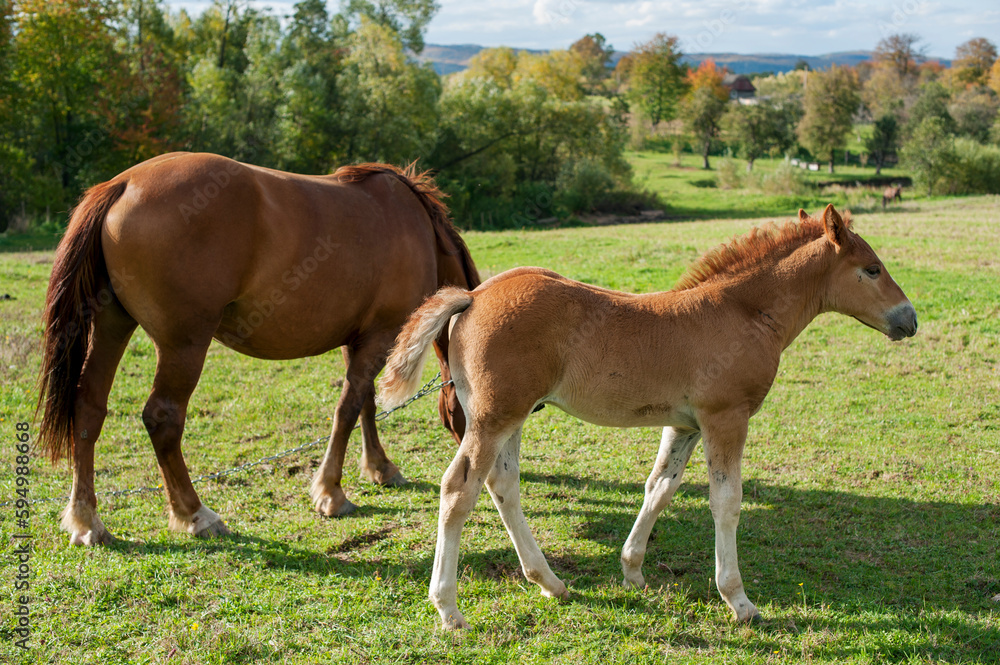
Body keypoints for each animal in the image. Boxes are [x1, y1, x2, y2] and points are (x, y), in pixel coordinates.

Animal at [36, 152, 479, 546]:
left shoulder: (361, 340)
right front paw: (332, 492)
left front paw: (380, 468)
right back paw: (195, 514)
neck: (415, 226)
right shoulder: (379, 336)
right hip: (183, 345)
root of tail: (123, 183)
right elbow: (348, 408)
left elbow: (364, 403)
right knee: (162, 418)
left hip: (112, 325)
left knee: (88, 408)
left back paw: (87, 520)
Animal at [378, 204, 917, 628]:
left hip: (509, 417)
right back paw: (448, 608)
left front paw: (632, 570)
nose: (909, 320)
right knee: (459, 489)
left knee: (502, 485)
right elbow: (726, 502)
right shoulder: (726, 417)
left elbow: (659, 488)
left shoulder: (684, 424)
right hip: (494, 418)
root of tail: (472, 296)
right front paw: (739, 601)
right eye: (872, 269)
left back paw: (550, 582)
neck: (743, 312)